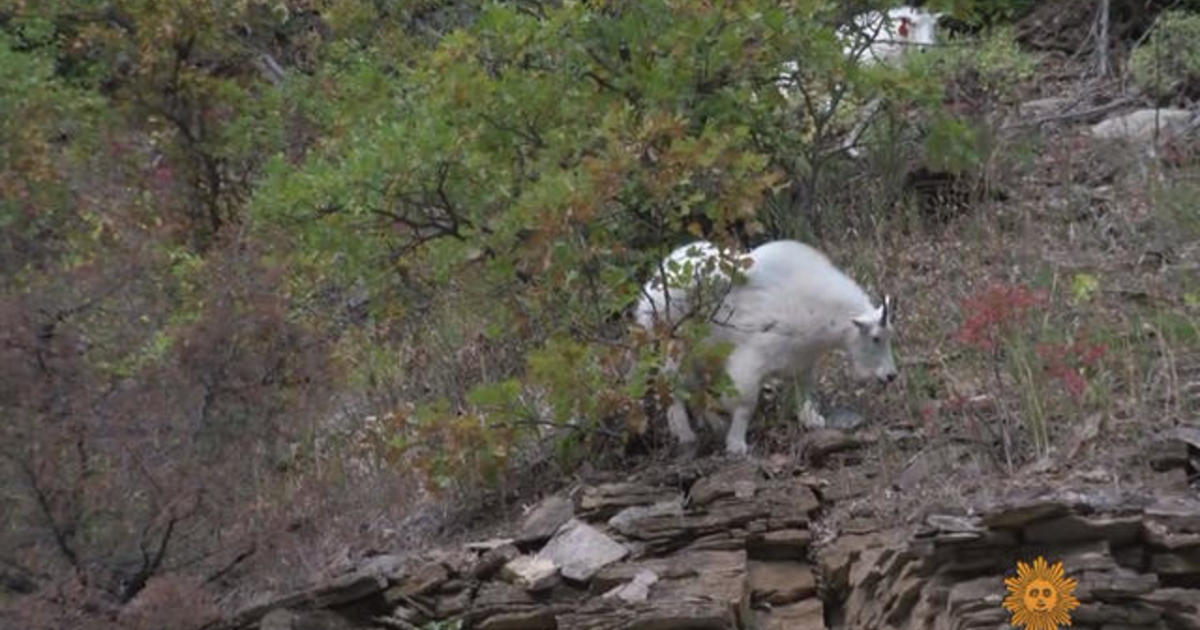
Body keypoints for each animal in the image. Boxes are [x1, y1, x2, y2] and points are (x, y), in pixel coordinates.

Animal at [633, 238, 897, 453]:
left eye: (889, 336)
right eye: (875, 338)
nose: (891, 376)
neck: (815, 309)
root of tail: (655, 280)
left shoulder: (803, 361)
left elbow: (804, 392)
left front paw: (813, 420)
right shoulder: (751, 358)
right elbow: (745, 403)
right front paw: (736, 444)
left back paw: (711, 423)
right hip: (674, 345)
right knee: (672, 385)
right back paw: (685, 433)